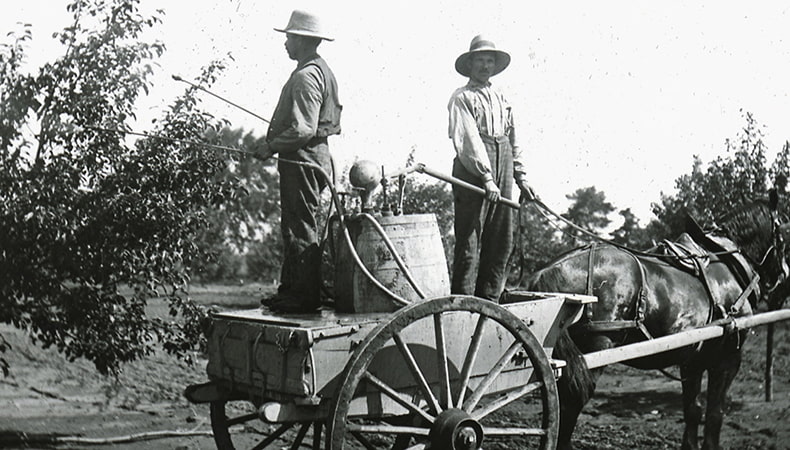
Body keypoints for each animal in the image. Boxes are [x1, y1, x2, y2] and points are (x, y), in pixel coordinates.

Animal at [516, 191, 788, 450]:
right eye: (782, 232)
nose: (782, 274)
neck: (727, 263)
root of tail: (548, 271)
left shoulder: (693, 359)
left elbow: (693, 409)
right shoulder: (727, 357)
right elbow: (715, 413)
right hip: (596, 348)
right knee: (571, 402)